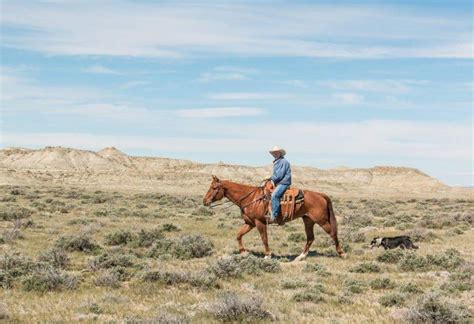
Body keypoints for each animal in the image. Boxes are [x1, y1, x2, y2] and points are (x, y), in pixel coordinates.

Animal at [204, 176, 344, 260]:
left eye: (214, 188)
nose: (205, 201)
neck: (250, 198)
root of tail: (320, 195)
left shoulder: (260, 222)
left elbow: (264, 238)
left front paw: (267, 255)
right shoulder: (250, 223)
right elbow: (239, 235)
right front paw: (243, 252)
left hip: (322, 221)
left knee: (333, 233)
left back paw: (341, 253)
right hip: (308, 220)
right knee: (310, 238)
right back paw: (301, 256)